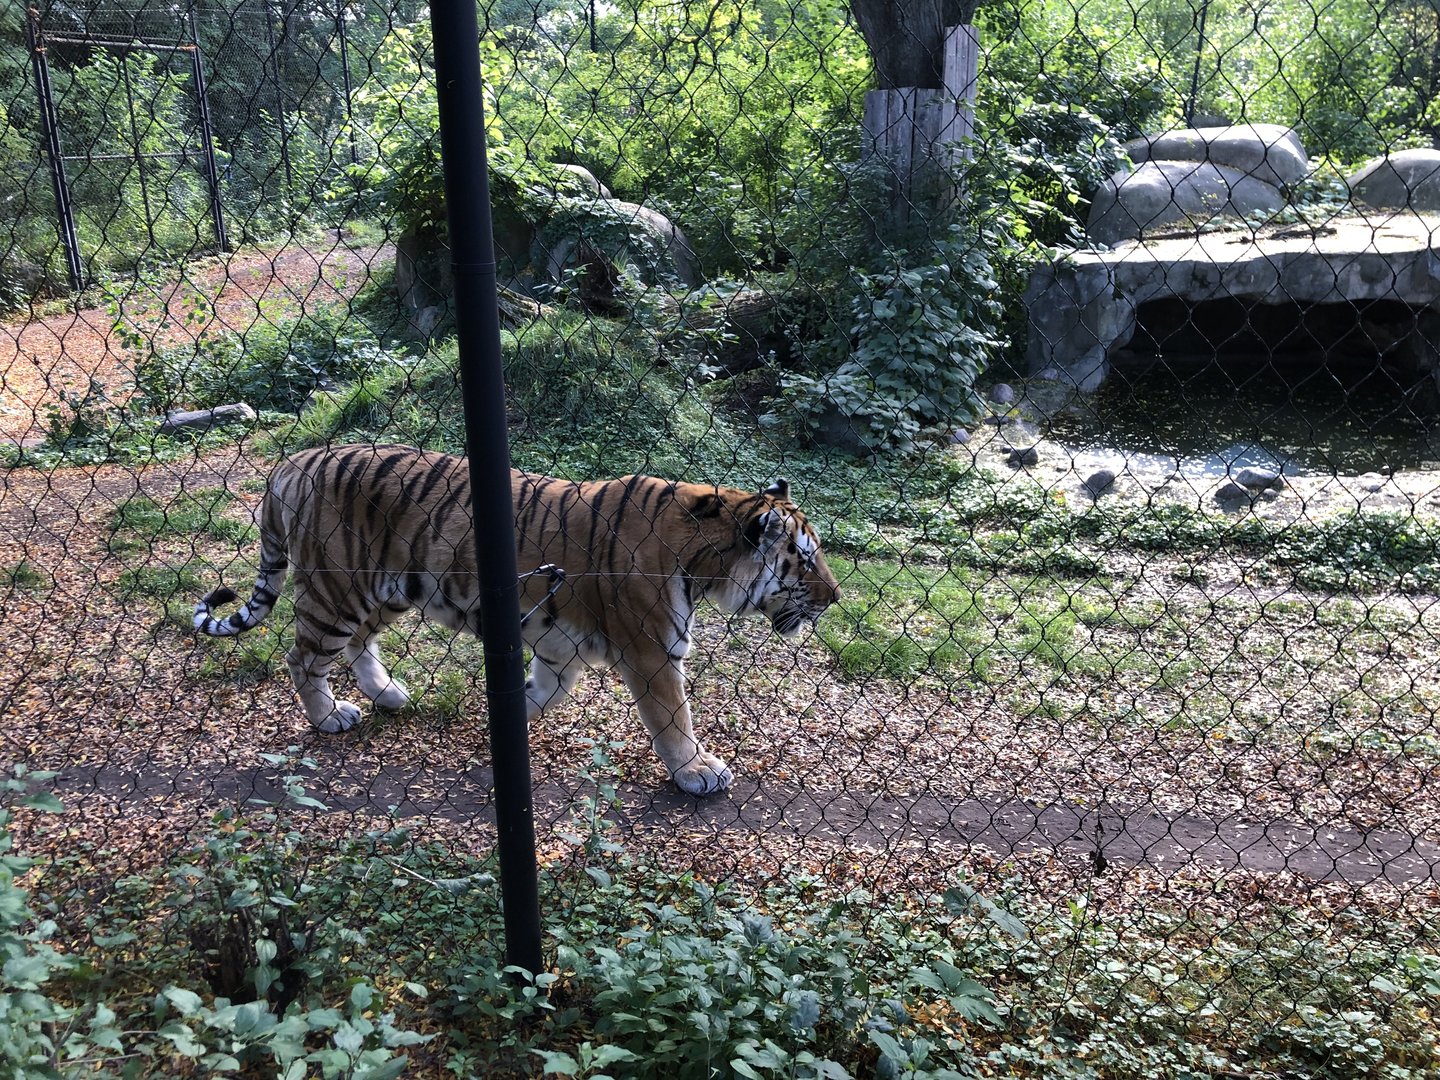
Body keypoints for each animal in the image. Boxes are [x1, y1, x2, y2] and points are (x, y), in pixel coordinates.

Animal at [193, 444, 840, 795]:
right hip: (336, 590)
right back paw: (329, 717)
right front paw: (697, 771)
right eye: (806, 560)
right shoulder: (652, 650)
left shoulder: (560, 647)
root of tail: (291, 462)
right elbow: (673, 718)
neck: (707, 559)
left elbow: (541, 694)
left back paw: (387, 695)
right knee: (303, 657)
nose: (835, 597)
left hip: (387, 589)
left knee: (357, 644)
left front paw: (501, 724)